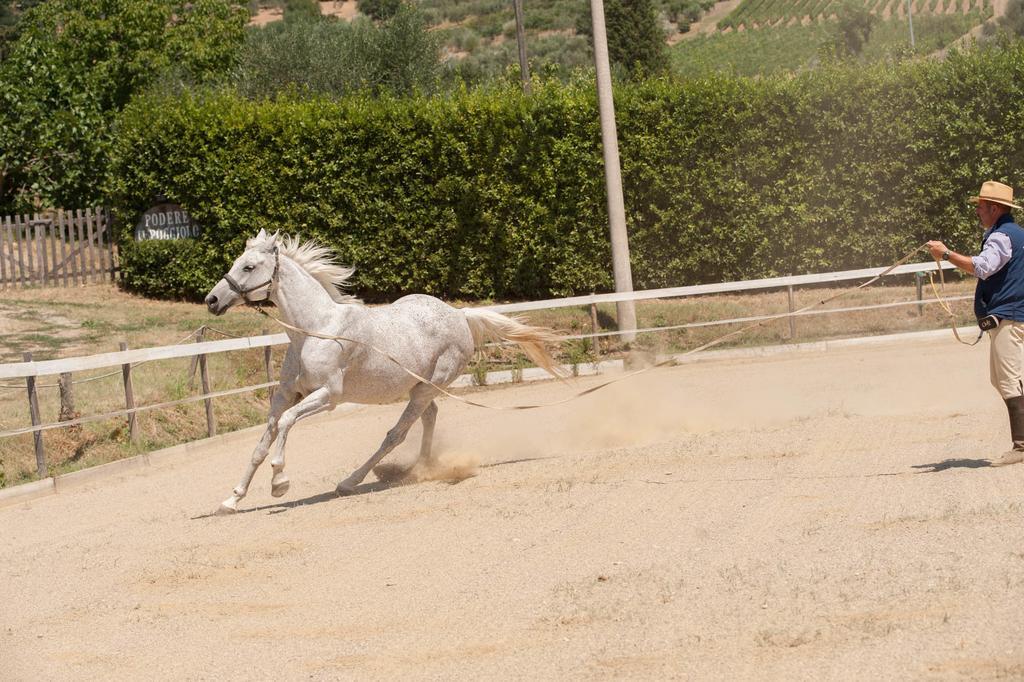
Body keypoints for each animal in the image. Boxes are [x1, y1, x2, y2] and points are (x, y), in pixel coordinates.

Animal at [204, 228, 565, 509]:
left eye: (249, 266)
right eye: (236, 262)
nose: (212, 300)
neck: (316, 330)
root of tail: (460, 315)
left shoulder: (328, 396)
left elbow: (287, 424)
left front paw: (279, 482)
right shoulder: (285, 395)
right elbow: (262, 442)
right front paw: (232, 499)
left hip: (426, 388)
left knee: (396, 434)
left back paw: (351, 482)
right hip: (419, 388)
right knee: (429, 417)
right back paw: (419, 469)